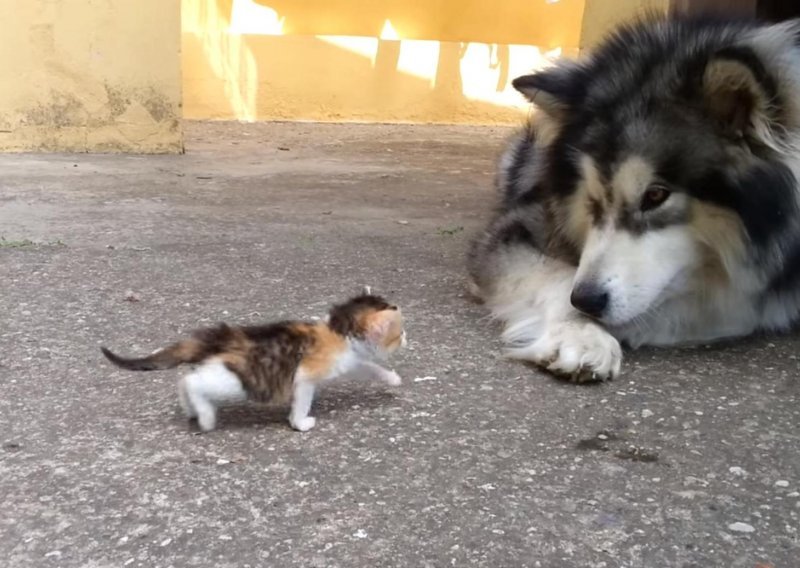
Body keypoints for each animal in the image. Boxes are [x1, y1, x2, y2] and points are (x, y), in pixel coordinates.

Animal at [101, 296, 406, 432]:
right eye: (399, 333)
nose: (407, 339)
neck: (338, 331)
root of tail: (217, 338)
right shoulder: (306, 374)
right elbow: (302, 399)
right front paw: (300, 423)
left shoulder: (349, 360)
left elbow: (368, 367)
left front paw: (392, 378)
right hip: (236, 378)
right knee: (192, 382)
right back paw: (206, 417)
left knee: (184, 381)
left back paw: (190, 411)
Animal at [468, 15, 800, 382]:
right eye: (591, 200)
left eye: (655, 195)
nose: (586, 301)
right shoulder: (517, 227)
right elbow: (556, 276)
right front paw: (582, 335)